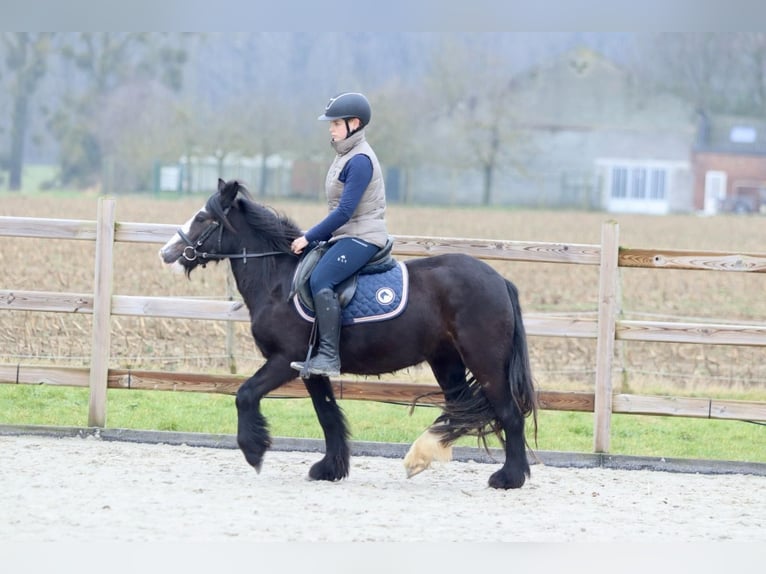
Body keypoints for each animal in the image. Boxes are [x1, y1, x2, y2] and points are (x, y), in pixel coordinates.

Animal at [158, 180, 536, 490]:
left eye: (204, 217)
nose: (167, 254)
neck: (280, 282)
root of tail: (499, 279)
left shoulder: (283, 360)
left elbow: (245, 394)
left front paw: (255, 451)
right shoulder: (309, 368)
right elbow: (327, 415)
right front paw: (330, 468)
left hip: (485, 361)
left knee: (508, 413)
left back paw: (509, 477)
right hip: (446, 360)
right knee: (461, 409)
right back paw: (421, 457)